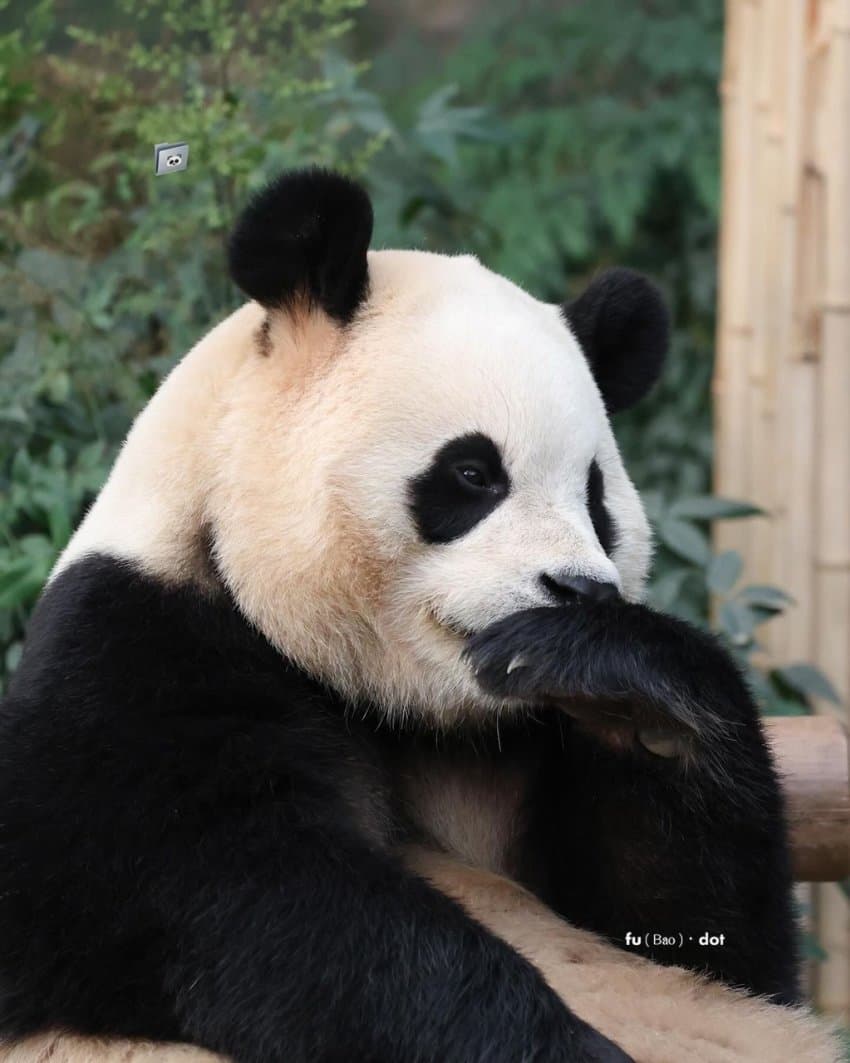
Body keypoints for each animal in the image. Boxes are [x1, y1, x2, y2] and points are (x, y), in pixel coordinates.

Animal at [0, 170, 841, 1058]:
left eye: (595, 496)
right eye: (473, 472)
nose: (581, 589)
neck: (413, 709)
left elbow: (716, 944)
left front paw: (625, 687)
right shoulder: (134, 659)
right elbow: (262, 907)